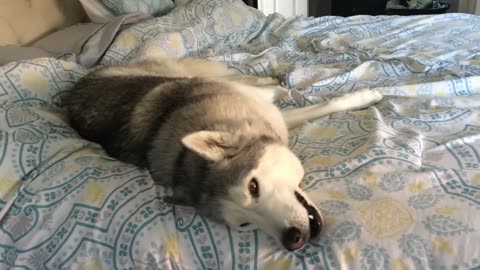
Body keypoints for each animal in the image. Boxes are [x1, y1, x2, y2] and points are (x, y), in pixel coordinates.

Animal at [66, 57, 382, 251]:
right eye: (244, 225)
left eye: (252, 186)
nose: (292, 239)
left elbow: (326, 105)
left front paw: (366, 96)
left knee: (241, 76)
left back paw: (274, 80)